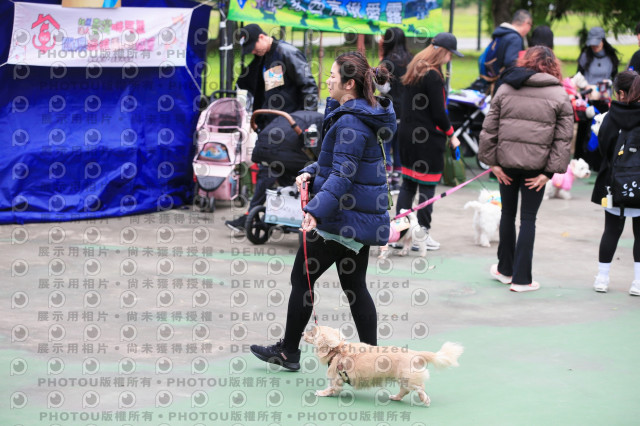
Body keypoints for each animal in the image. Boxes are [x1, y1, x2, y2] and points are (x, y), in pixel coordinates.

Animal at [302, 325, 463, 406]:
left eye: (312, 332)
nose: (302, 333)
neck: (338, 350)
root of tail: (417, 353)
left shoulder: (336, 377)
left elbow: (331, 388)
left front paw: (322, 393)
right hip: (403, 380)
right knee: (404, 391)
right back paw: (396, 397)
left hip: (408, 379)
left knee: (419, 388)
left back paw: (425, 399)